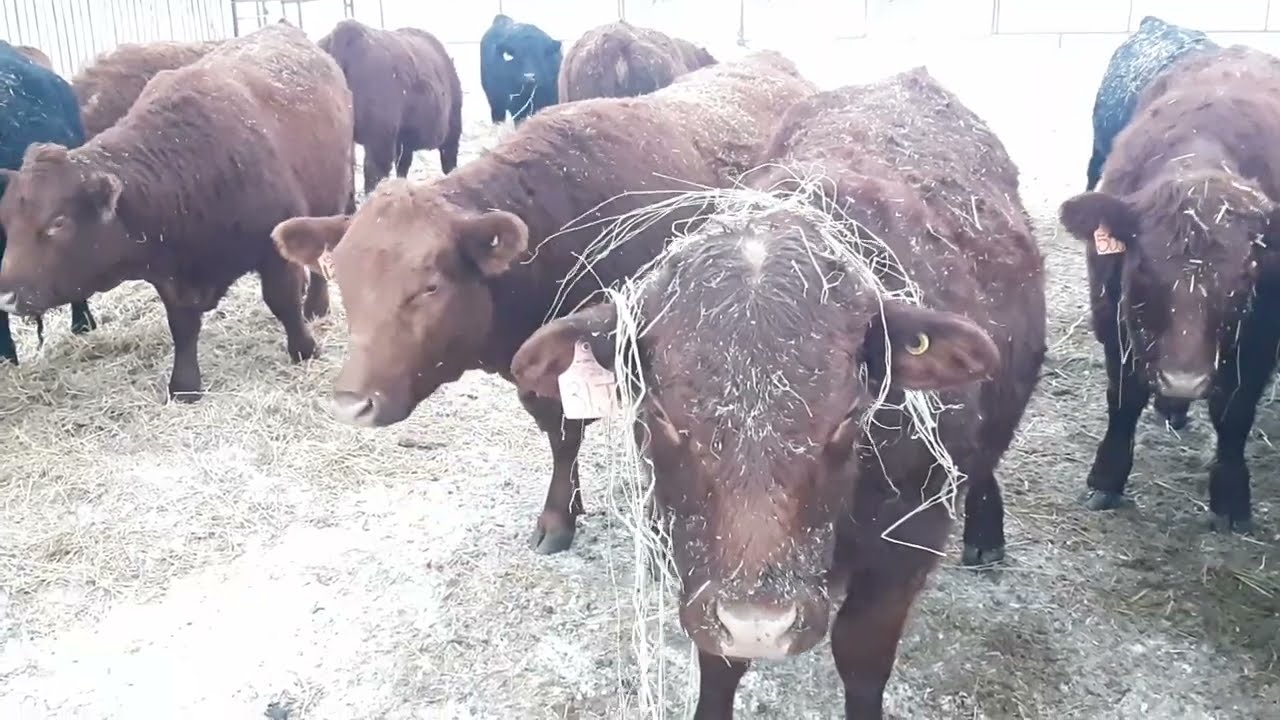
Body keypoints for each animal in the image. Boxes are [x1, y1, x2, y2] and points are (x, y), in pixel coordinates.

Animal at [510, 66, 1045, 717]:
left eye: (849, 416)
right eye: (660, 416)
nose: (758, 625)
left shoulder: (909, 543)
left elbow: (861, 656)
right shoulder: (692, 554)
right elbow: (717, 660)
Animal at [1059, 44, 1280, 534]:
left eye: (1246, 274)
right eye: (1142, 268)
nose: (1184, 380)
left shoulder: (1261, 339)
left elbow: (1235, 413)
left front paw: (1231, 497)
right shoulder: (1113, 316)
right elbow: (1124, 398)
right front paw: (1106, 478)